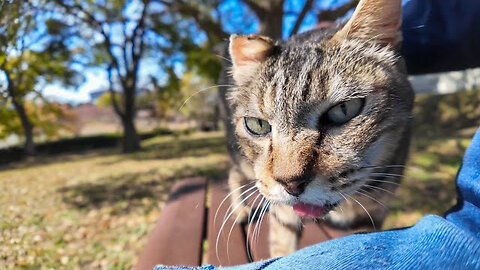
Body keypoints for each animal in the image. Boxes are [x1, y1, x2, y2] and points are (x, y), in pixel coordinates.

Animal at [223, 0, 414, 258]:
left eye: (343, 109)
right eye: (257, 125)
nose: (290, 184)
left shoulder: (372, 213)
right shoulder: (283, 214)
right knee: (232, 173)